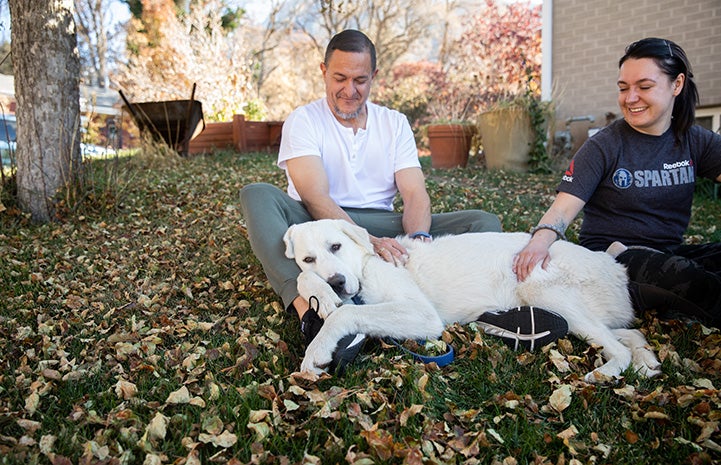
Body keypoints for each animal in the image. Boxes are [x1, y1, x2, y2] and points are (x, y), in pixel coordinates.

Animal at [280, 218, 660, 380]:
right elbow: (304, 280)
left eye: (336, 246)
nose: (337, 282)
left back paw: (608, 372)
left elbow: (343, 315)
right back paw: (647, 363)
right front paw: (320, 293)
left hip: (543, 291)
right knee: (628, 333)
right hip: (586, 316)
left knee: (619, 347)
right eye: (309, 257)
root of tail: (615, 266)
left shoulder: (422, 314)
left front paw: (316, 350)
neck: (365, 266)